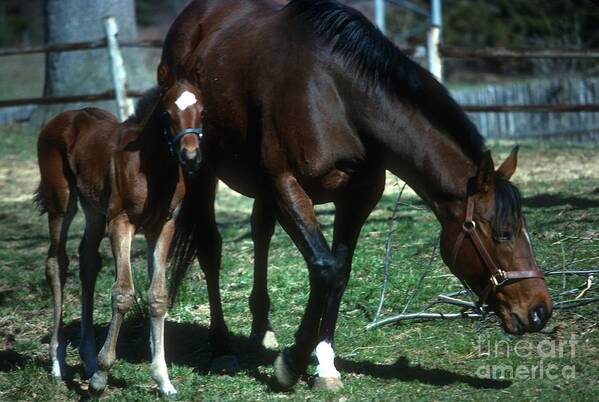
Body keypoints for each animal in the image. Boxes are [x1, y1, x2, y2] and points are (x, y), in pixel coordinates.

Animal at [37, 81, 207, 396]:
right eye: (167, 113)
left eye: (202, 111)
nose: (191, 156)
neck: (152, 166)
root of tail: (63, 117)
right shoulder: (121, 221)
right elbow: (123, 293)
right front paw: (101, 377)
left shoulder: (163, 225)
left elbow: (157, 295)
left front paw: (163, 380)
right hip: (61, 202)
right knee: (56, 262)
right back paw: (58, 363)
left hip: (93, 208)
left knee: (88, 261)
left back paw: (88, 358)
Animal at [163, 0, 552, 392]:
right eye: (503, 233)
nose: (540, 310)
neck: (337, 97)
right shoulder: (287, 187)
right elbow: (325, 269)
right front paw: (292, 364)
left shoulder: (357, 199)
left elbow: (340, 272)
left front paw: (325, 363)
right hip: (199, 166)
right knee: (210, 249)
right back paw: (221, 347)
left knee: (260, 233)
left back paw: (262, 329)